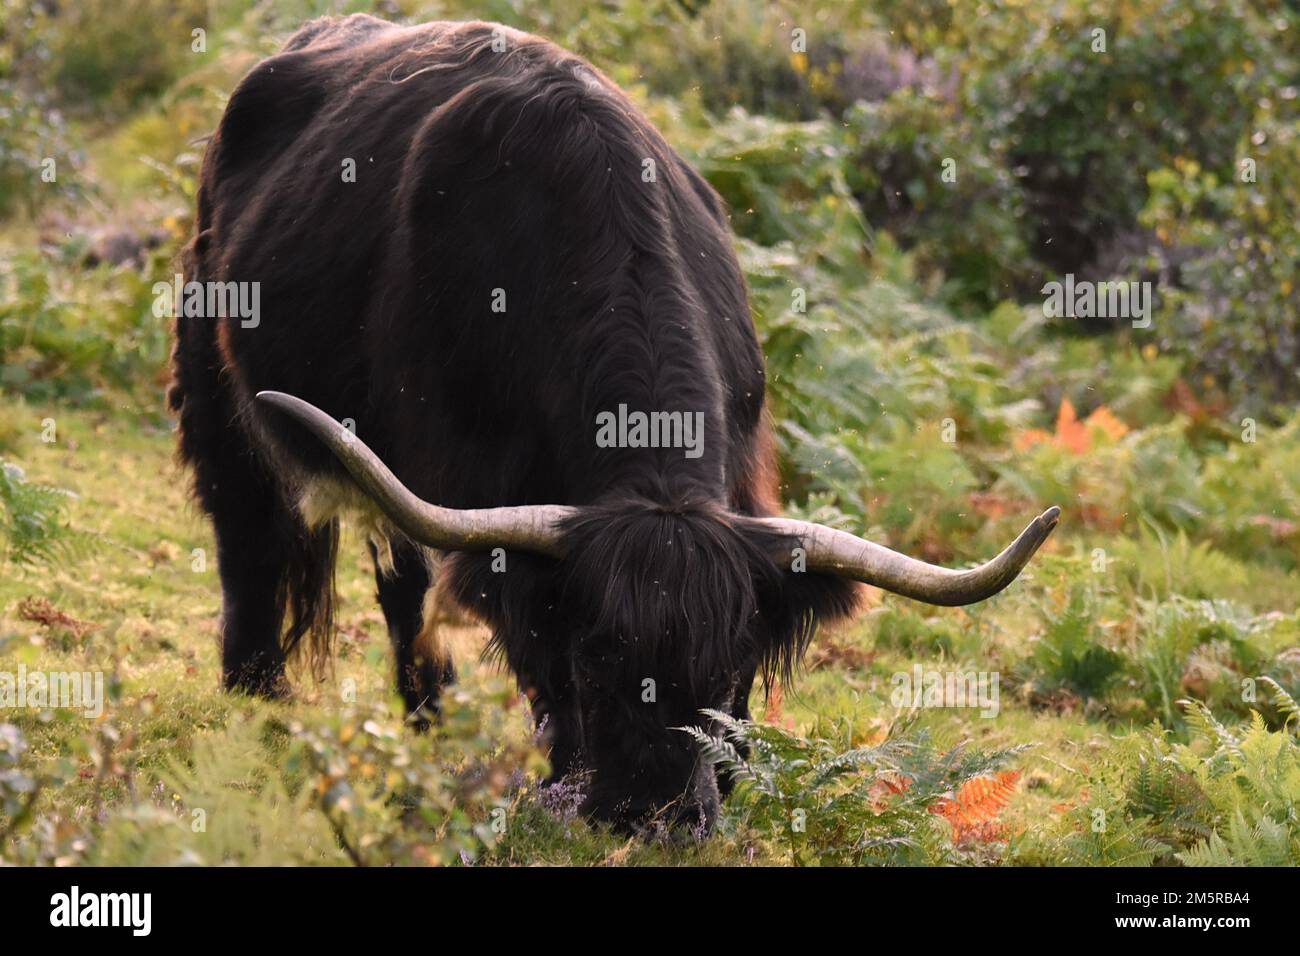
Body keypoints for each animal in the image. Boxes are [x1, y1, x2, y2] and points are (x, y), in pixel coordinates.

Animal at [169, 14, 1059, 833]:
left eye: (725, 663)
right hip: (217, 382)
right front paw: (562, 778)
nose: (652, 817)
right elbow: (528, 648)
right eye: (597, 655)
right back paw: (261, 693)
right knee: (252, 534)